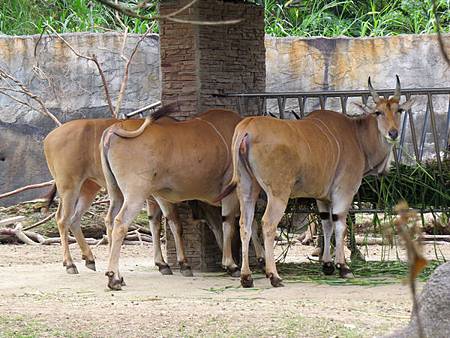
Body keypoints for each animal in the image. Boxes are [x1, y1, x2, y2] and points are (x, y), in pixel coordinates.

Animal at [43, 106, 222, 278]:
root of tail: (49, 138)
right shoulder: (157, 195)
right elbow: (174, 223)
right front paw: (181, 265)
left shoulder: (150, 197)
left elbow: (155, 224)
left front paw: (162, 264)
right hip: (69, 187)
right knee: (62, 219)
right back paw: (70, 264)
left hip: (88, 188)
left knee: (75, 218)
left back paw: (90, 259)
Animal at [101, 109, 264, 290]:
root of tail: (111, 131)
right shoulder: (231, 192)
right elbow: (231, 225)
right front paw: (232, 265)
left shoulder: (161, 197)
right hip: (135, 195)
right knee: (120, 224)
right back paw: (113, 279)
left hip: (117, 193)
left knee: (110, 221)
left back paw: (119, 276)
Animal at [220, 76, 414, 288]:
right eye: (378, 112)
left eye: (399, 110)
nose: (393, 133)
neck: (357, 136)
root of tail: (247, 128)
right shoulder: (343, 191)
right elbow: (340, 225)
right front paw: (343, 267)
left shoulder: (323, 197)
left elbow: (326, 224)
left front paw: (327, 265)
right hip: (278, 193)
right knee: (268, 224)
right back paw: (274, 276)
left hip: (247, 189)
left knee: (244, 224)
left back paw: (246, 277)